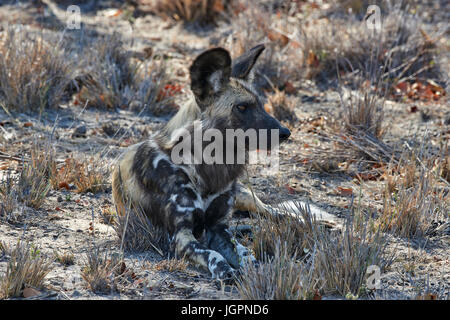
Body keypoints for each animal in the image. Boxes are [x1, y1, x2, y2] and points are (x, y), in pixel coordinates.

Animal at [110, 45, 290, 280]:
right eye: (242, 107)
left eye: (261, 105)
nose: (286, 132)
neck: (209, 166)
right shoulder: (181, 235)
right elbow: (213, 254)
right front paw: (226, 272)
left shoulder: (218, 227)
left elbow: (245, 253)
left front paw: (254, 269)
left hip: (246, 199)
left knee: (273, 211)